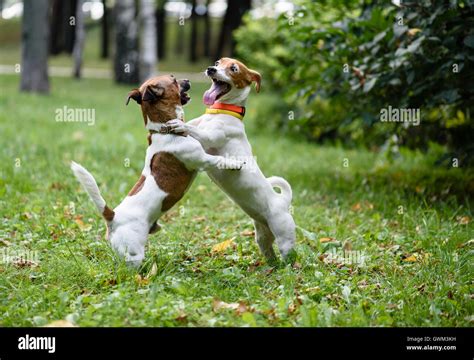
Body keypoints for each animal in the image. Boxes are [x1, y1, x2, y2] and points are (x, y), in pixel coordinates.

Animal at [72, 75, 243, 268]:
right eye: (174, 80)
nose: (187, 79)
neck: (164, 131)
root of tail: (113, 217)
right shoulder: (202, 159)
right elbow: (218, 160)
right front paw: (235, 163)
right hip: (133, 254)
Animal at [167, 58, 296, 262]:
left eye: (233, 69)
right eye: (218, 62)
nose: (211, 69)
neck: (221, 112)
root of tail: (282, 201)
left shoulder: (209, 139)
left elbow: (193, 130)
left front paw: (180, 125)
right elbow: (193, 125)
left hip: (284, 237)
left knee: (289, 257)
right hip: (262, 236)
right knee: (270, 253)